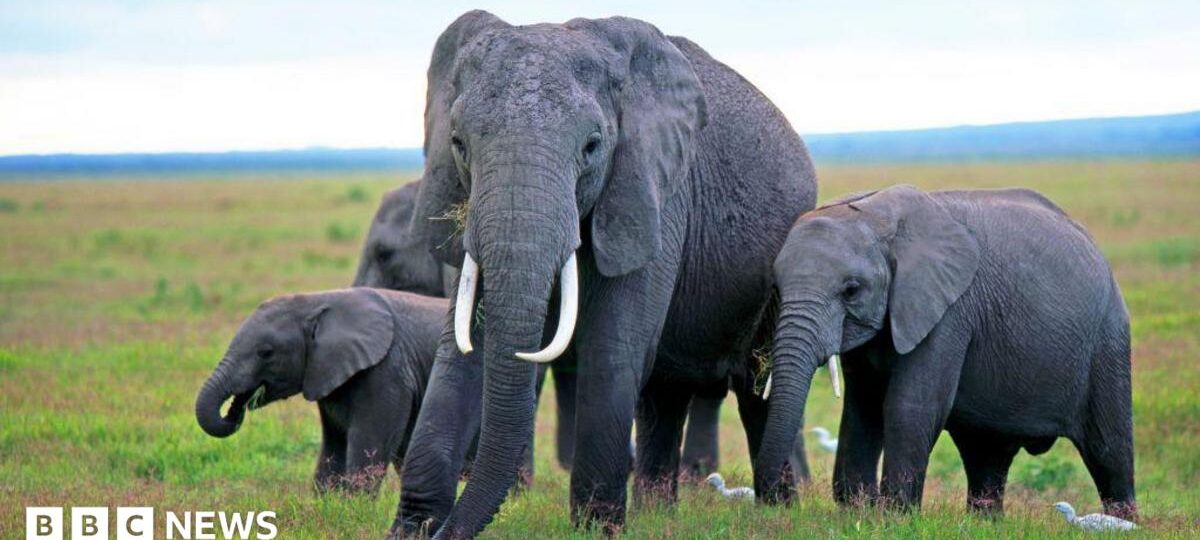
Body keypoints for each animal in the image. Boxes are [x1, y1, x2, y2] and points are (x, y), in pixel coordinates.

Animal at [195, 287, 445, 496]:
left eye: (266, 353)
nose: (234, 409)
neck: (317, 301)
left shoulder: (387, 372)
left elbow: (368, 451)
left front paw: (354, 509)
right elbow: (332, 450)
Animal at [392, 11, 816, 537]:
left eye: (592, 147)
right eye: (458, 145)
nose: (445, 528)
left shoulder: (654, 192)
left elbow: (612, 346)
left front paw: (595, 529)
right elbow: (461, 348)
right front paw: (412, 527)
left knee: (757, 387)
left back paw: (778, 512)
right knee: (664, 396)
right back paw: (659, 514)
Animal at [754, 185, 1135, 520]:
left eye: (851, 289)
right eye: (776, 287)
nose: (773, 502)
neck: (876, 215)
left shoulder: (949, 310)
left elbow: (909, 406)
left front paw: (893, 517)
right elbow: (863, 407)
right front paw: (857, 510)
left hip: (1108, 338)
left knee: (1109, 449)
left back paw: (1124, 524)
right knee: (986, 452)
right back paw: (985, 523)